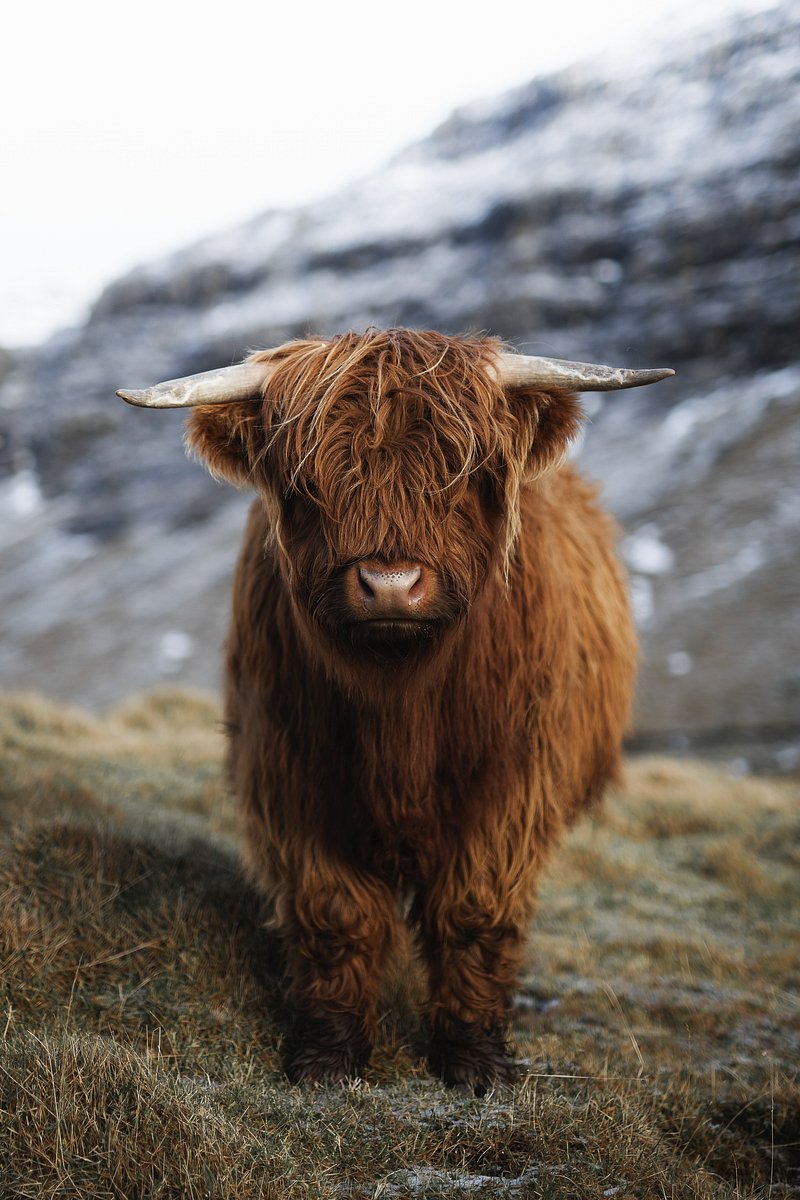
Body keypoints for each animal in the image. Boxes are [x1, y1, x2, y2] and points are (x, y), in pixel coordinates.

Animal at [118, 329, 673, 1091]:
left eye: (461, 474)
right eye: (308, 483)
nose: (389, 584)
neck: (400, 706)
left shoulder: (513, 789)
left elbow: (473, 912)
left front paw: (473, 1060)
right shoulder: (292, 779)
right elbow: (335, 915)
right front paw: (327, 1057)